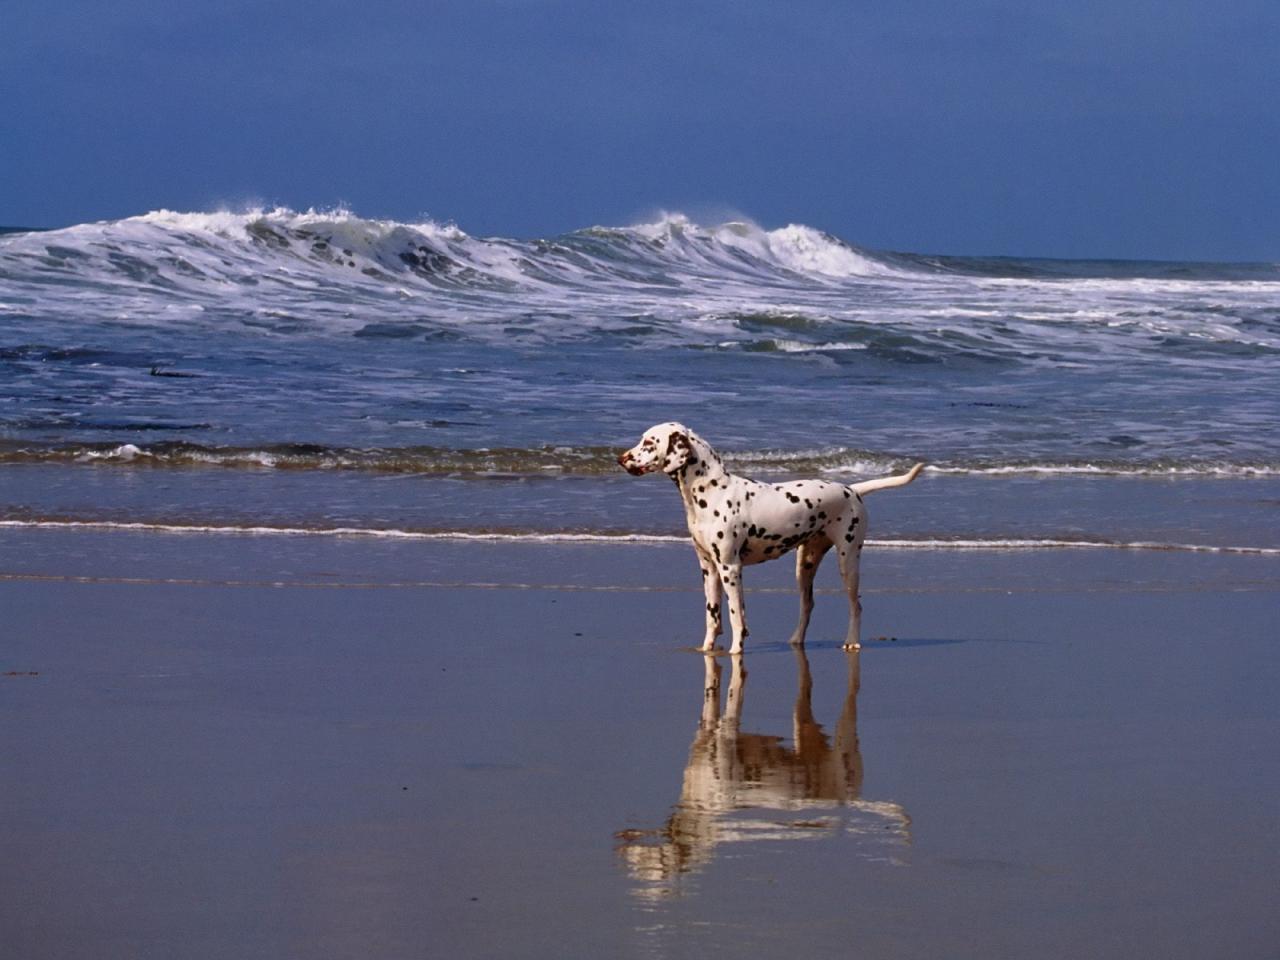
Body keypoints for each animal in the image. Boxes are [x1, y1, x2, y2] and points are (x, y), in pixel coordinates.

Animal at [616, 424, 926, 660]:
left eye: (648, 442)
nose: (620, 458)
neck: (712, 491)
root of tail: (851, 490)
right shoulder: (709, 569)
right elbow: (712, 617)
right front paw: (706, 649)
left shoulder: (730, 568)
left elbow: (736, 616)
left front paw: (735, 651)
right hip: (805, 566)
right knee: (808, 605)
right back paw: (796, 640)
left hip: (848, 562)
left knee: (856, 607)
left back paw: (852, 642)